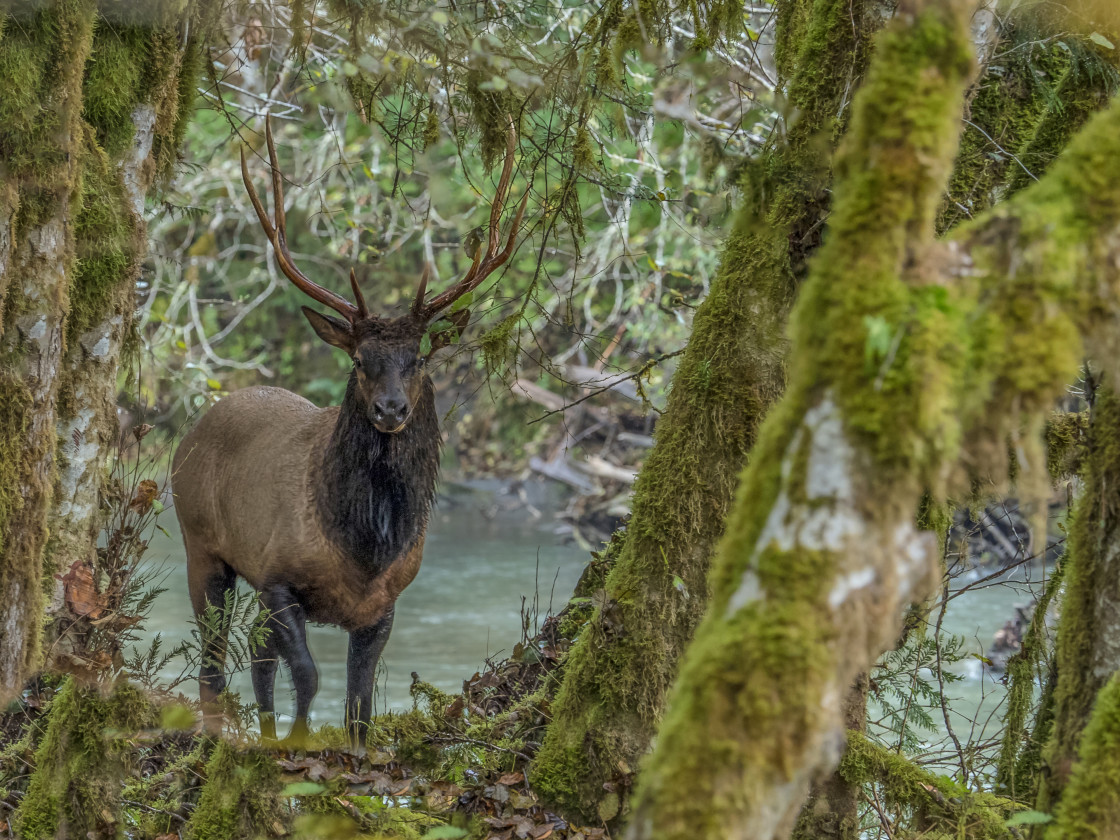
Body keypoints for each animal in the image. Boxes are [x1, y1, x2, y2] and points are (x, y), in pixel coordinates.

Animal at [171, 115, 528, 748]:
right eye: (360, 360)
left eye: (418, 358)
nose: (389, 409)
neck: (363, 548)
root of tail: (190, 433)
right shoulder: (277, 578)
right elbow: (311, 677)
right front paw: (298, 744)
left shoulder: (385, 603)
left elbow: (359, 702)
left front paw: (338, 749)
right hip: (201, 544)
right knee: (213, 662)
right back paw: (220, 736)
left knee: (256, 659)